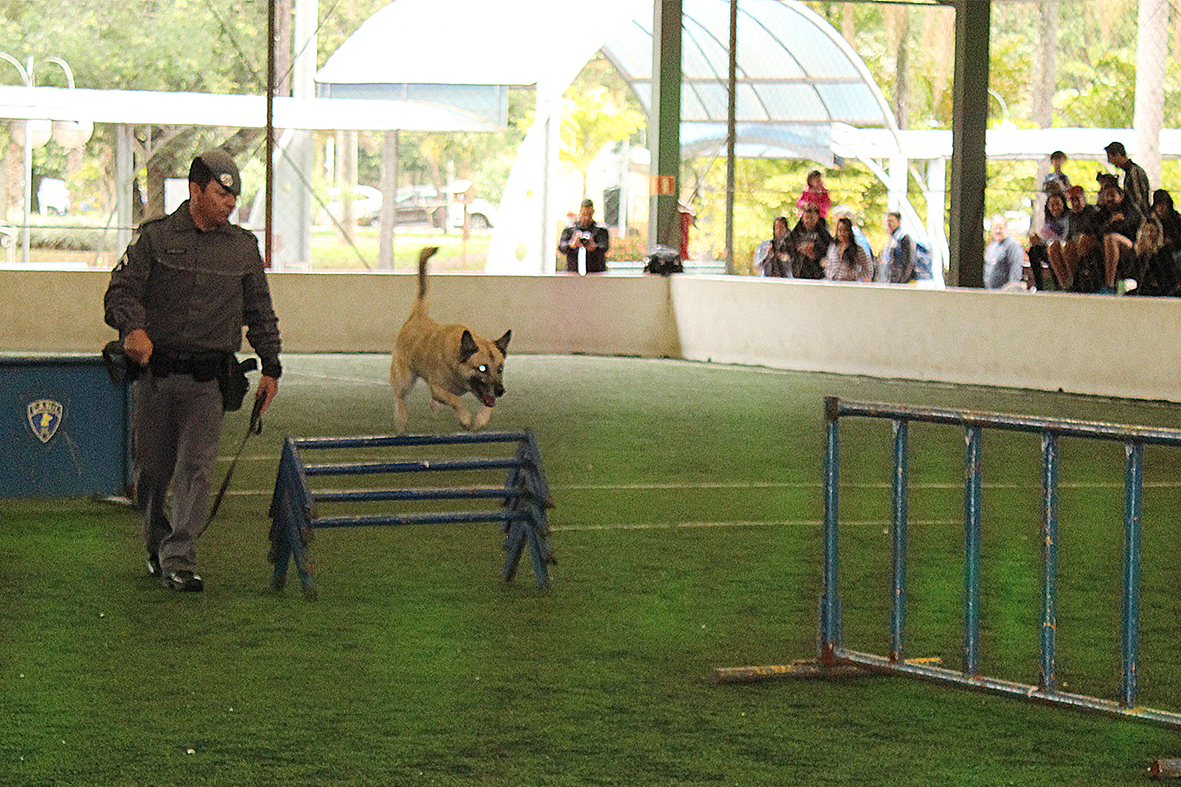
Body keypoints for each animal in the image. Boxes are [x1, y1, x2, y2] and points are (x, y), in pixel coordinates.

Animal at [392, 246, 512, 432]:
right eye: (482, 368)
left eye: (500, 369)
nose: (501, 391)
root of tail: (418, 317)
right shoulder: (437, 388)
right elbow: (457, 400)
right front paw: (465, 418)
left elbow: (486, 405)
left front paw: (480, 419)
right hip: (404, 379)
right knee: (399, 397)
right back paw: (401, 417)